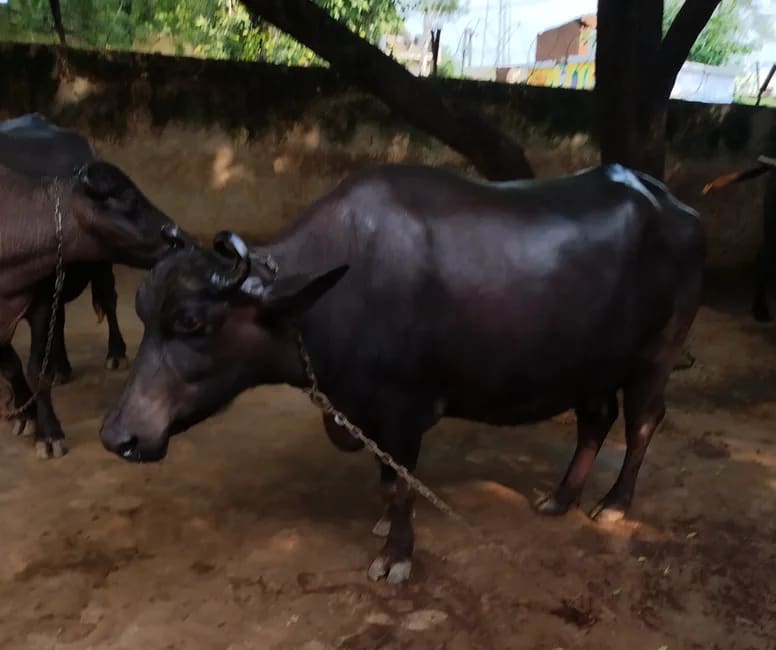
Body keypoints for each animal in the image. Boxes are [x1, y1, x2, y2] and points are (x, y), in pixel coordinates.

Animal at [100, 163, 704, 584]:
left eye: (193, 322)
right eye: (142, 313)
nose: (117, 436)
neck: (329, 297)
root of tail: (679, 210)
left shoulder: (403, 410)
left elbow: (401, 486)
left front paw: (396, 554)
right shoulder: (367, 411)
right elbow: (388, 479)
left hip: (656, 354)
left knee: (643, 421)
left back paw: (614, 504)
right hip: (590, 363)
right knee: (595, 418)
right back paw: (560, 498)